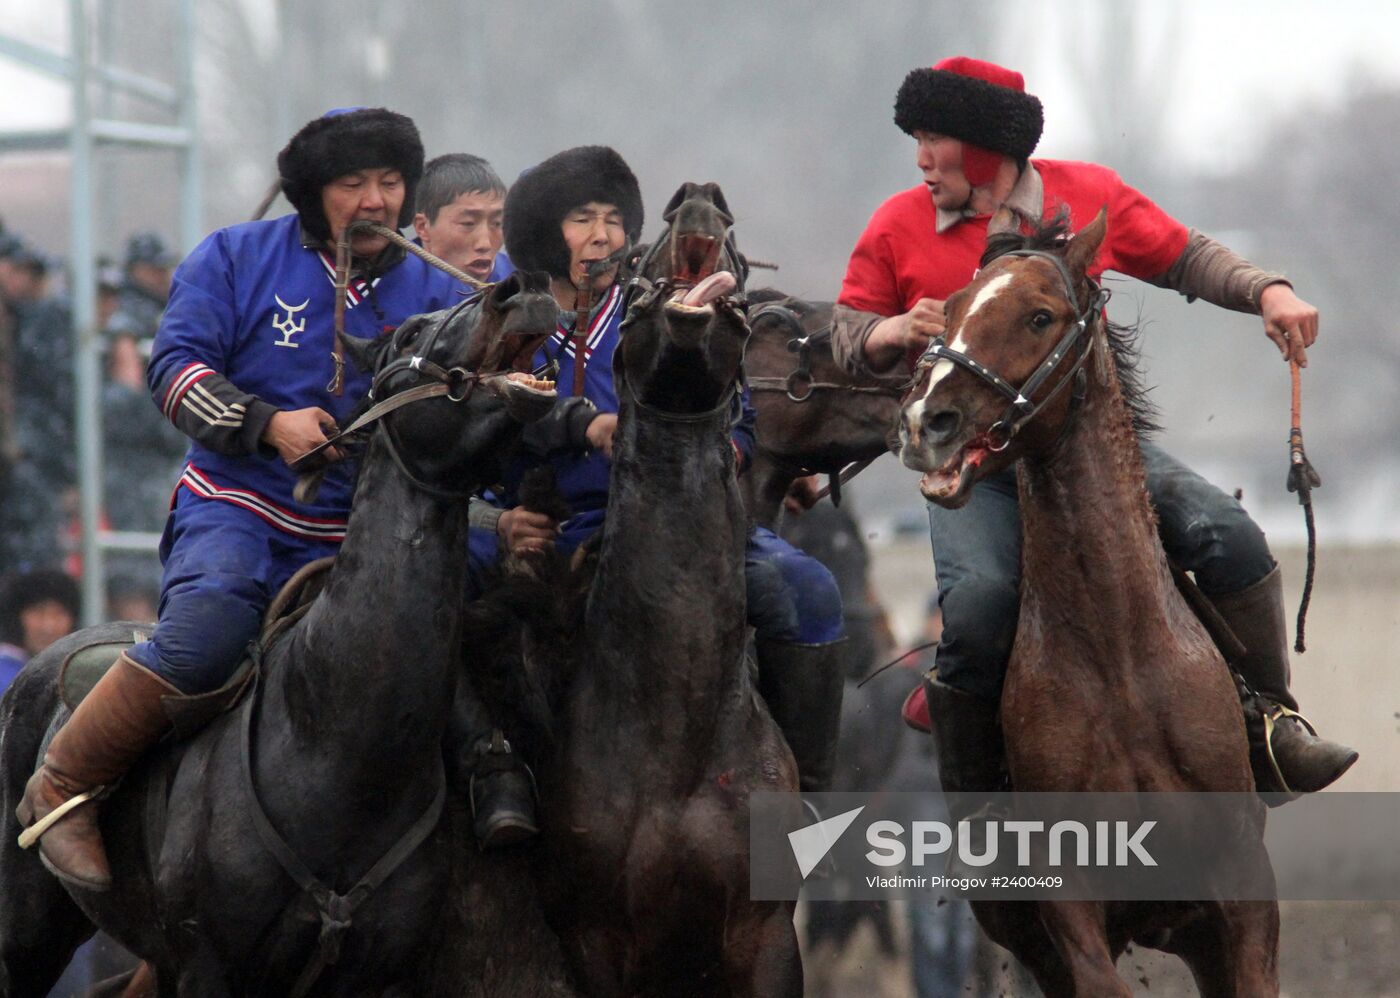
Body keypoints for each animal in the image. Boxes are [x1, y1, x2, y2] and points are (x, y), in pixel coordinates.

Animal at [1, 268, 557, 991]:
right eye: (410, 332)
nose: (522, 288)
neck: (335, 749)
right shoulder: (210, 965)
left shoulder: (370, 974)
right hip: (28, 930)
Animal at [896, 209, 1282, 996]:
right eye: (948, 311)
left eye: (1039, 316)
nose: (926, 421)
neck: (1122, 658)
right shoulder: (1069, 909)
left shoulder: (1241, 885)